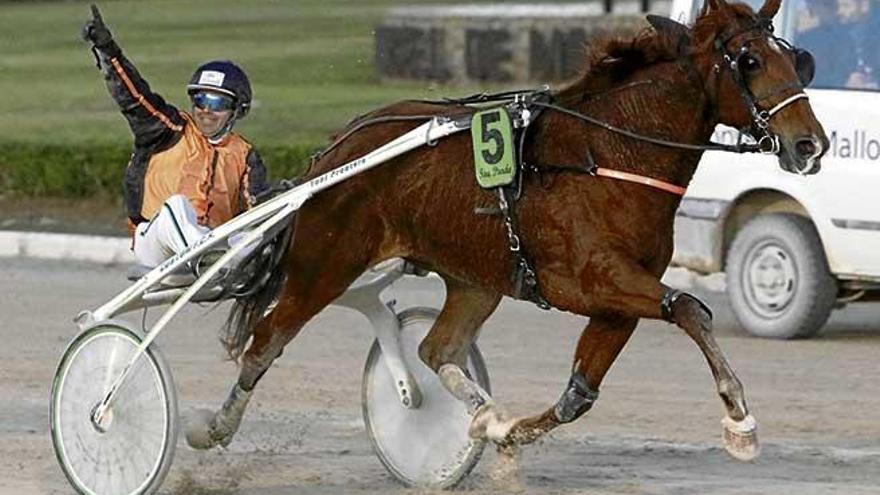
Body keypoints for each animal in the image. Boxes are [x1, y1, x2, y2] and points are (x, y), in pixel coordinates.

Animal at [186, 0, 824, 468]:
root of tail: (337, 149)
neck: (609, 156)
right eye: (749, 61)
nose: (810, 144)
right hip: (326, 262)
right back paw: (211, 428)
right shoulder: (592, 280)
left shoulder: (618, 298)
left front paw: (504, 430)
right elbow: (691, 309)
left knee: (435, 349)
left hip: (475, 277)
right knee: (266, 340)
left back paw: (480, 412)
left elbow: (577, 397)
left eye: (798, 60)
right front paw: (740, 422)